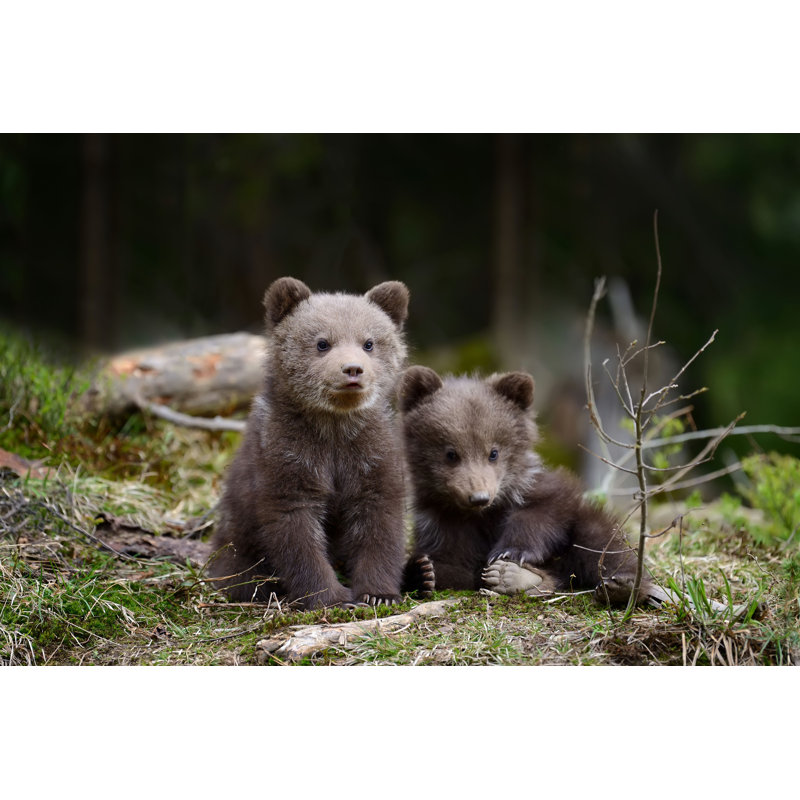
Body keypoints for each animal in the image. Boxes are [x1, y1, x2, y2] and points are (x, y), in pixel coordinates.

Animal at [206, 276, 410, 609]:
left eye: (369, 342)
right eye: (322, 342)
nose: (352, 369)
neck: (333, 426)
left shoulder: (370, 452)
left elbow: (379, 520)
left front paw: (379, 593)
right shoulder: (287, 455)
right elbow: (296, 530)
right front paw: (332, 597)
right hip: (236, 540)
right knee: (238, 571)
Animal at [398, 366, 666, 606]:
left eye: (493, 452)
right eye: (451, 454)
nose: (479, 497)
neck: (481, 515)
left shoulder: (537, 489)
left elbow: (542, 514)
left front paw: (511, 552)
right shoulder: (440, 521)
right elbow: (451, 562)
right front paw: (422, 571)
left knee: (600, 541)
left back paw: (620, 586)